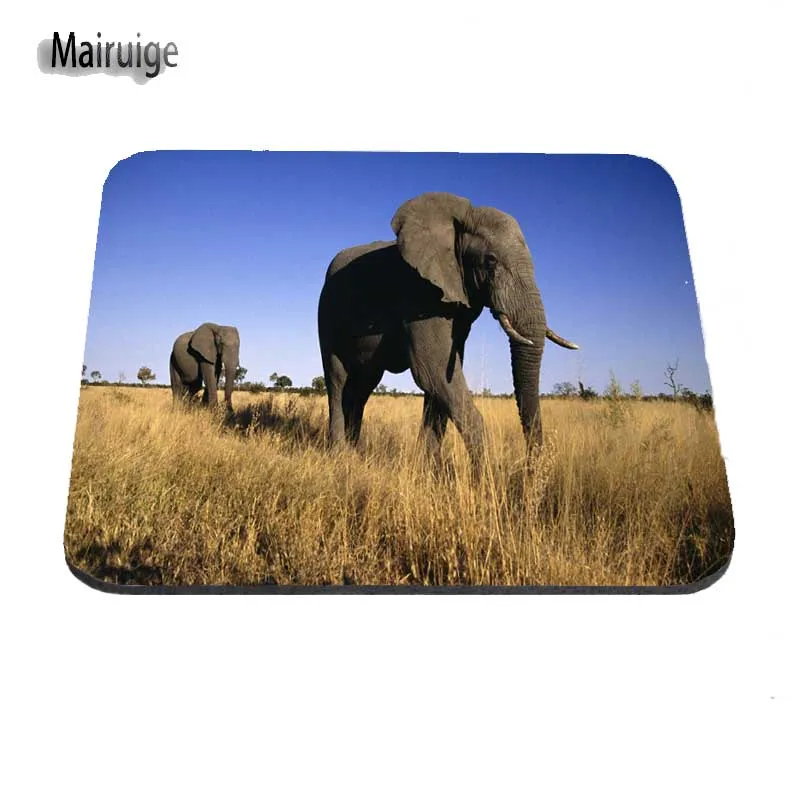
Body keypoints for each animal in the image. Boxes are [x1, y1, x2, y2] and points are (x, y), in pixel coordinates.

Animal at [317, 191, 579, 468]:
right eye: (490, 261)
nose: (530, 468)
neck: (460, 219)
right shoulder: (420, 291)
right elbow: (432, 371)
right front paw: (485, 473)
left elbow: (442, 378)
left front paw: (429, 468)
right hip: (326, 314)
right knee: (338, 380)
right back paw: (340, 456)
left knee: (363, 385)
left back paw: (354, 453)